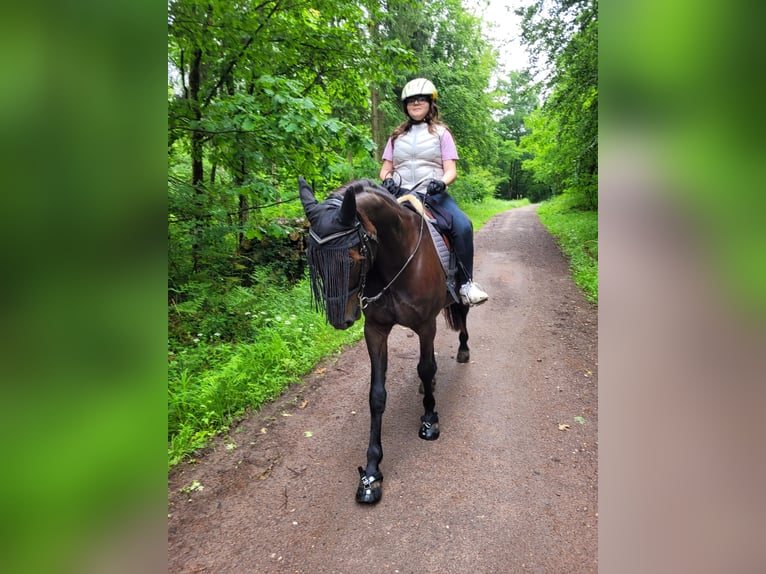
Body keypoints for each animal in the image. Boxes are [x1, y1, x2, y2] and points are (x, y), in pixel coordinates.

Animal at [298, 177, 468, 504]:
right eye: (315, 260)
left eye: (355, 256)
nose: (341, 319)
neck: (395, 261)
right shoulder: (375, 331)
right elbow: (377, 395)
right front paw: (371, 473)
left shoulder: (426, 325)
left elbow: (425, 367)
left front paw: (429, 420)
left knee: (463, 317)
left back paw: (464, 351)